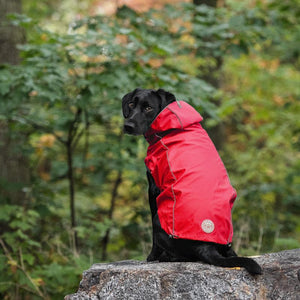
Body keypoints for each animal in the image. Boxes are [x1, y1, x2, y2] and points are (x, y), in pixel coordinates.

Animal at [122, 87, 262, 274]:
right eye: (131, 104)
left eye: (148, 108)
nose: (128, 125)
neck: (173, 124)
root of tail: (205, 245)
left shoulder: (154, 189)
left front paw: (151, 257)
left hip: (160, 219)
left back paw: (166, 257)